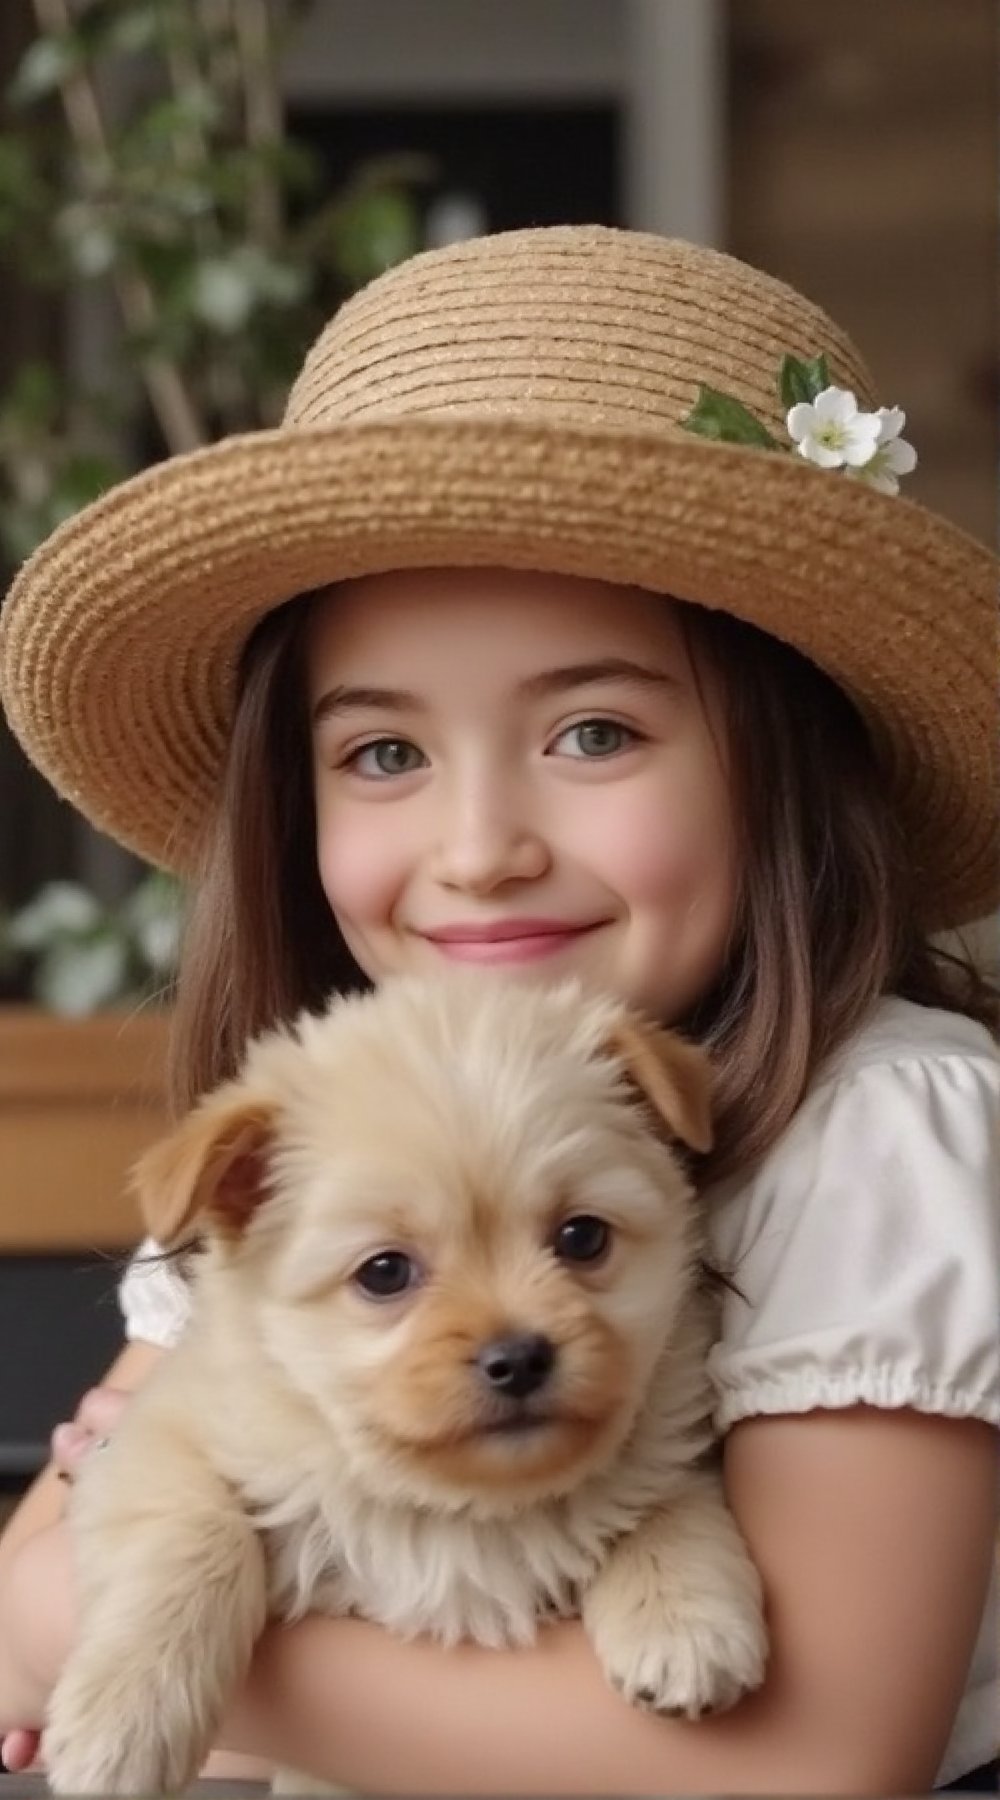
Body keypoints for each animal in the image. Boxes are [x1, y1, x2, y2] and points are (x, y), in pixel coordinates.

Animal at [44, 979, 766, 1792]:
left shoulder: (671, 1431)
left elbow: (662, 1499)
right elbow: (194, 1535)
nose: (518, 1358)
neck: (459, 1509)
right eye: (385, 1272)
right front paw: (123, 1723)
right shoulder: (156, 1436)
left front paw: (684, 1622)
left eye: (582, 1237)